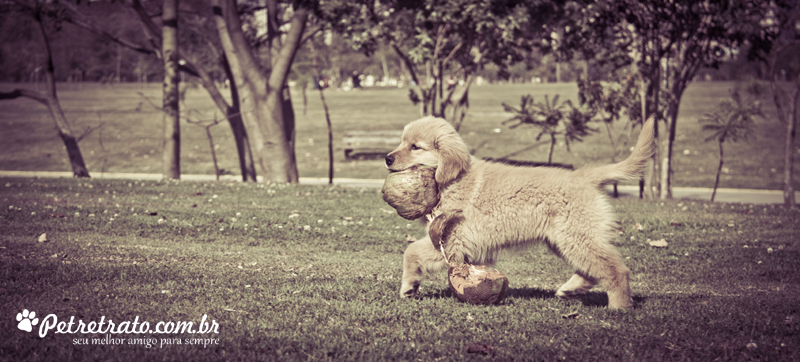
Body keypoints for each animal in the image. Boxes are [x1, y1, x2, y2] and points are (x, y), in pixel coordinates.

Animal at [384, 116, 652, 308]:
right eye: (401, 143)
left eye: (415, 147)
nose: (387, 158)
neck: (451, 180)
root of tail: (584, 176)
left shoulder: (453, 241)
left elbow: (410, 252)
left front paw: (408, 286)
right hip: (564, 239)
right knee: (594, 268)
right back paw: (571, 289)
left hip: (577, 236)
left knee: (615, 270)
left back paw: (619, 307)